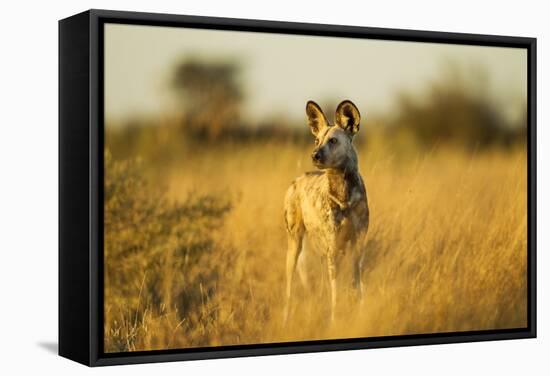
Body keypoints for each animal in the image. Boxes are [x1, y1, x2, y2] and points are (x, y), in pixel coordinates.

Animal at [284, 100, 370, 324]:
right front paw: (335, 320)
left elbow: (356, 283)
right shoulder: (334, 247)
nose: (314, 155)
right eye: (316, 140)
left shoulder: (357, 244)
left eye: (333, 141)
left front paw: (360, 311)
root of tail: (297, 180)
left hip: (321, 250)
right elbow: (336, 292)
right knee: (289, 286)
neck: (344, 194)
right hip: (295, 246)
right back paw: (286, 319)